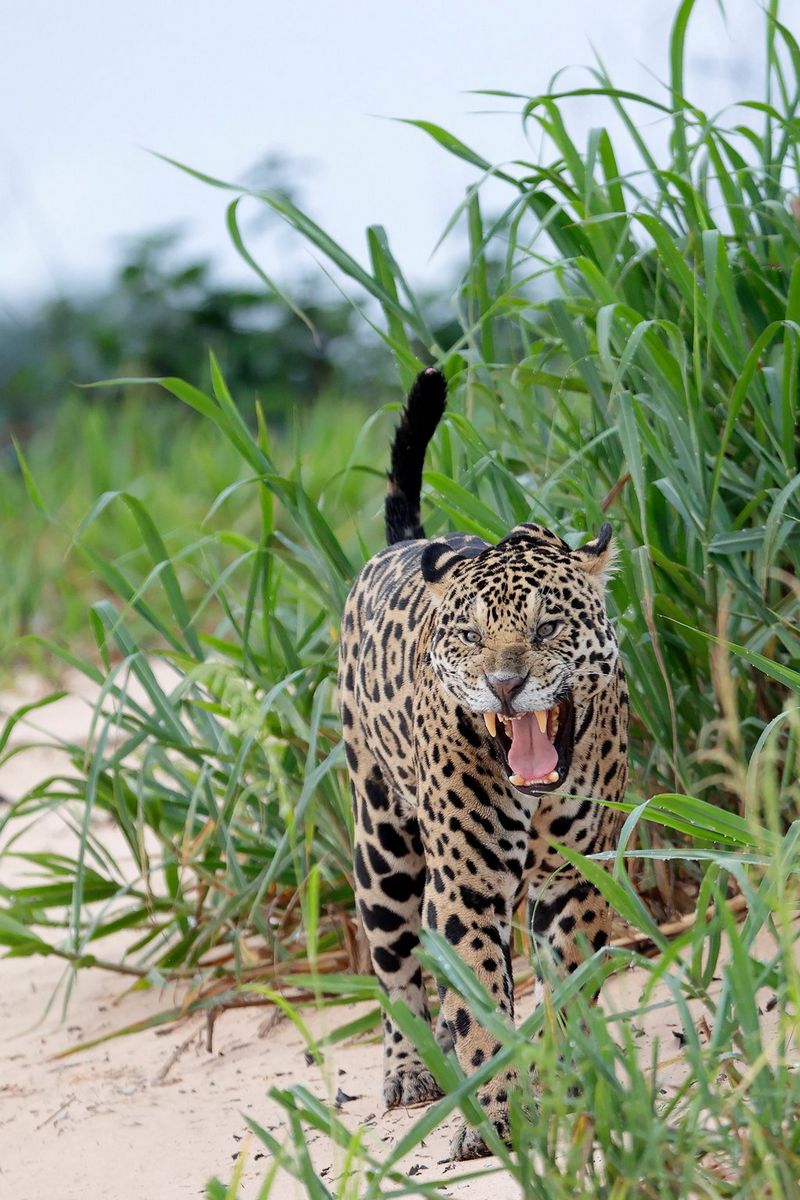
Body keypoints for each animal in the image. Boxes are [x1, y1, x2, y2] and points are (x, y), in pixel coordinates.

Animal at [338, 367, 628, 1160]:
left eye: (548, 626)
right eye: (469, 636)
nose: (504, 684)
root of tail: (408, 544)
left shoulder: (575, 880)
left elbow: (567, 990)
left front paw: (569, 1082)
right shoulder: (465, 888)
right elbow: (479, 1013)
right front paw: (496, 1117)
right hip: (381, 845)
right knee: (398, 968)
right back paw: (410, 1071)